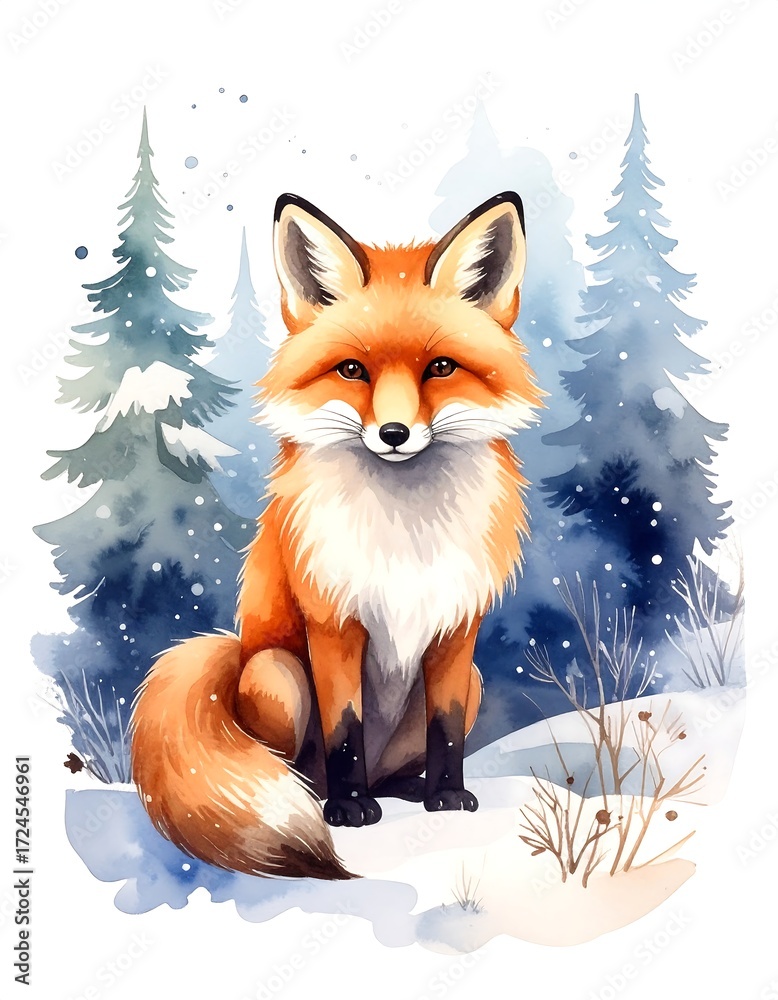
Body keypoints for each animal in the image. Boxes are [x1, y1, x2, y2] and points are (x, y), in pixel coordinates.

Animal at [130, 190, 542, 880]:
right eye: (353, 369)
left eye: (441, 368)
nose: (395, 434)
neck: (406, 531)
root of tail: (233, 653)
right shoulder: (334, 623)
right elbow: (343, 731)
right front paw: (348, 811)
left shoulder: (457, 631)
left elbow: (447, 731)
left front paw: (447, 796)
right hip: (275, 673)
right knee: (294, 762)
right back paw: (319, 794)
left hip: (477, 681)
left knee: (402, 763)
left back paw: (406, 789)